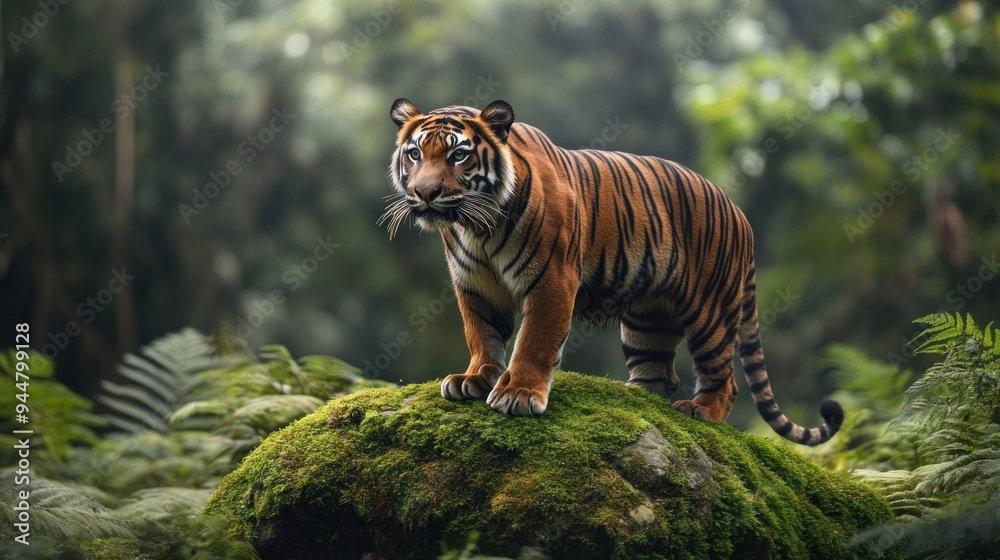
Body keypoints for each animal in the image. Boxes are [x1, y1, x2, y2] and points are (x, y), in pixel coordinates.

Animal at [382, 98, 844, 445]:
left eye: (458, 155)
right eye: (415, 153)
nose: (424, 193)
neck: (476, 227)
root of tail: (740, 213)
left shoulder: (552, 280)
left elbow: (534, 341)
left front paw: (518, 393)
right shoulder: (474, 286)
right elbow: (482, 335)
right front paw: (475, 378)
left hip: (711, 313)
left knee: (723, 380)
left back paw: (700, 411)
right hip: (647, 319)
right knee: (660, 374)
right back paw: (632, 400)